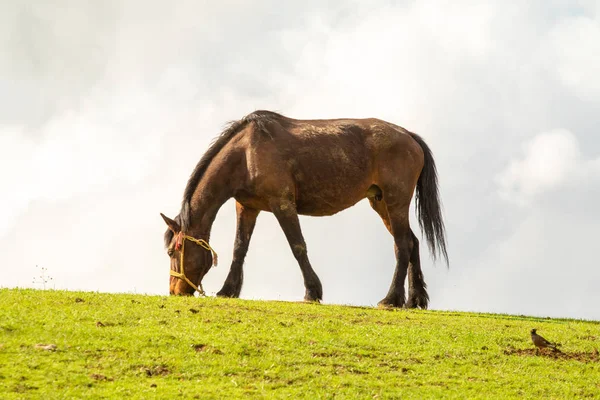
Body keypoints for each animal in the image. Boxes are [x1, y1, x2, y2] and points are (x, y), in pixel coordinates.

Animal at [162, 110, 448, 310]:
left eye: (172, 251)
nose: (175, 290)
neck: (246, 152)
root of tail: (409, 136)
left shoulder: (282, 204)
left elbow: (297, 246)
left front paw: (312, 291)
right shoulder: (246, 207)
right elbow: (239, 249)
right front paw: (228, 290)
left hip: (395, 202)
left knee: (402, 245)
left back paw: (391, 299)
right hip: (380, 203)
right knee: (412, 242)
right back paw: (415, 299)